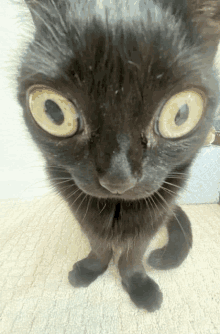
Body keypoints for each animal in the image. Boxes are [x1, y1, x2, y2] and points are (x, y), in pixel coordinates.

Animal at [16, 0, 219, 312]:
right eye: (53, 111)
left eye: (181, 114)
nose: (118, 178)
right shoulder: (81, 211)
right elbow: (98, 244)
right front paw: (92, 269)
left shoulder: (154, 215)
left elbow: (133, 254)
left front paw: (137, 284)